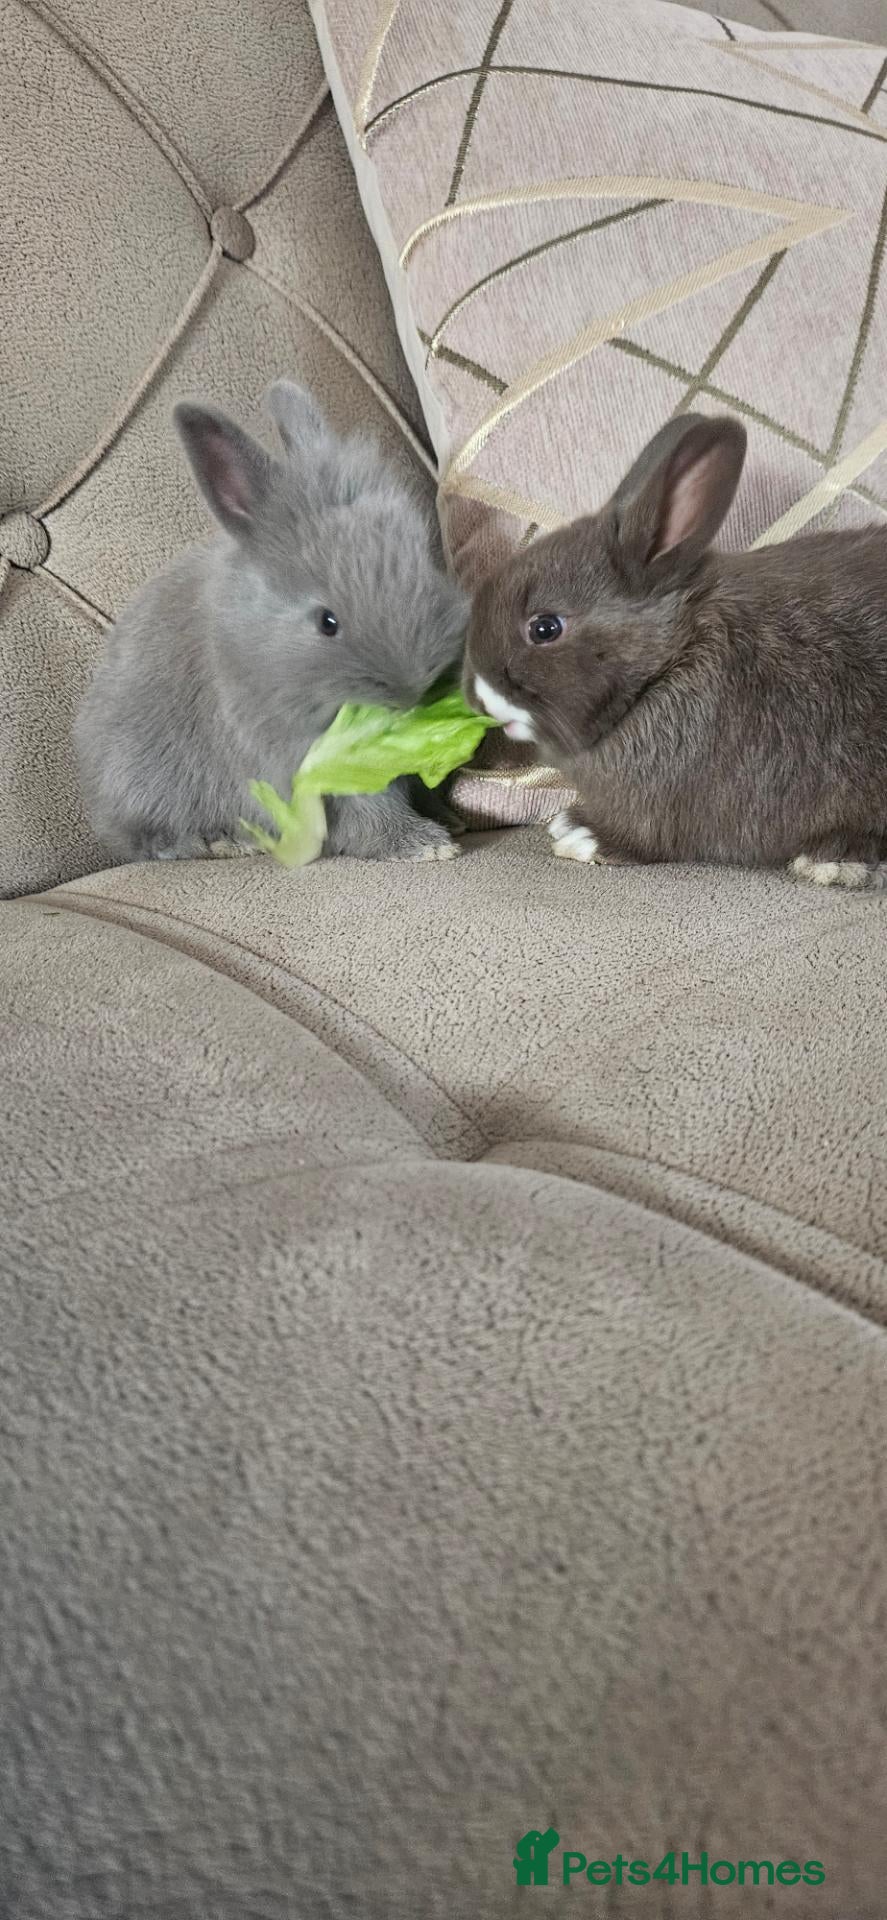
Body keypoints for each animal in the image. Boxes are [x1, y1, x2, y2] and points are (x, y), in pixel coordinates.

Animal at [75, 380, 469, 865]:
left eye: (425, 565)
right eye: (327, 622)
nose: (415, 691)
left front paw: (450, 821)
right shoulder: (302, 761)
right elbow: (368, 808)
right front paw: (423, 846)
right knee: (149, 842)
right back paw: (222, 843)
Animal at [465, 411, 887, 889]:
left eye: (545, 628)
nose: (479, 698)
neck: (666, 662)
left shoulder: (660, 810)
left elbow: (643, 839)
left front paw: (585, 838)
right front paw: (570, 821)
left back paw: (833, 860)